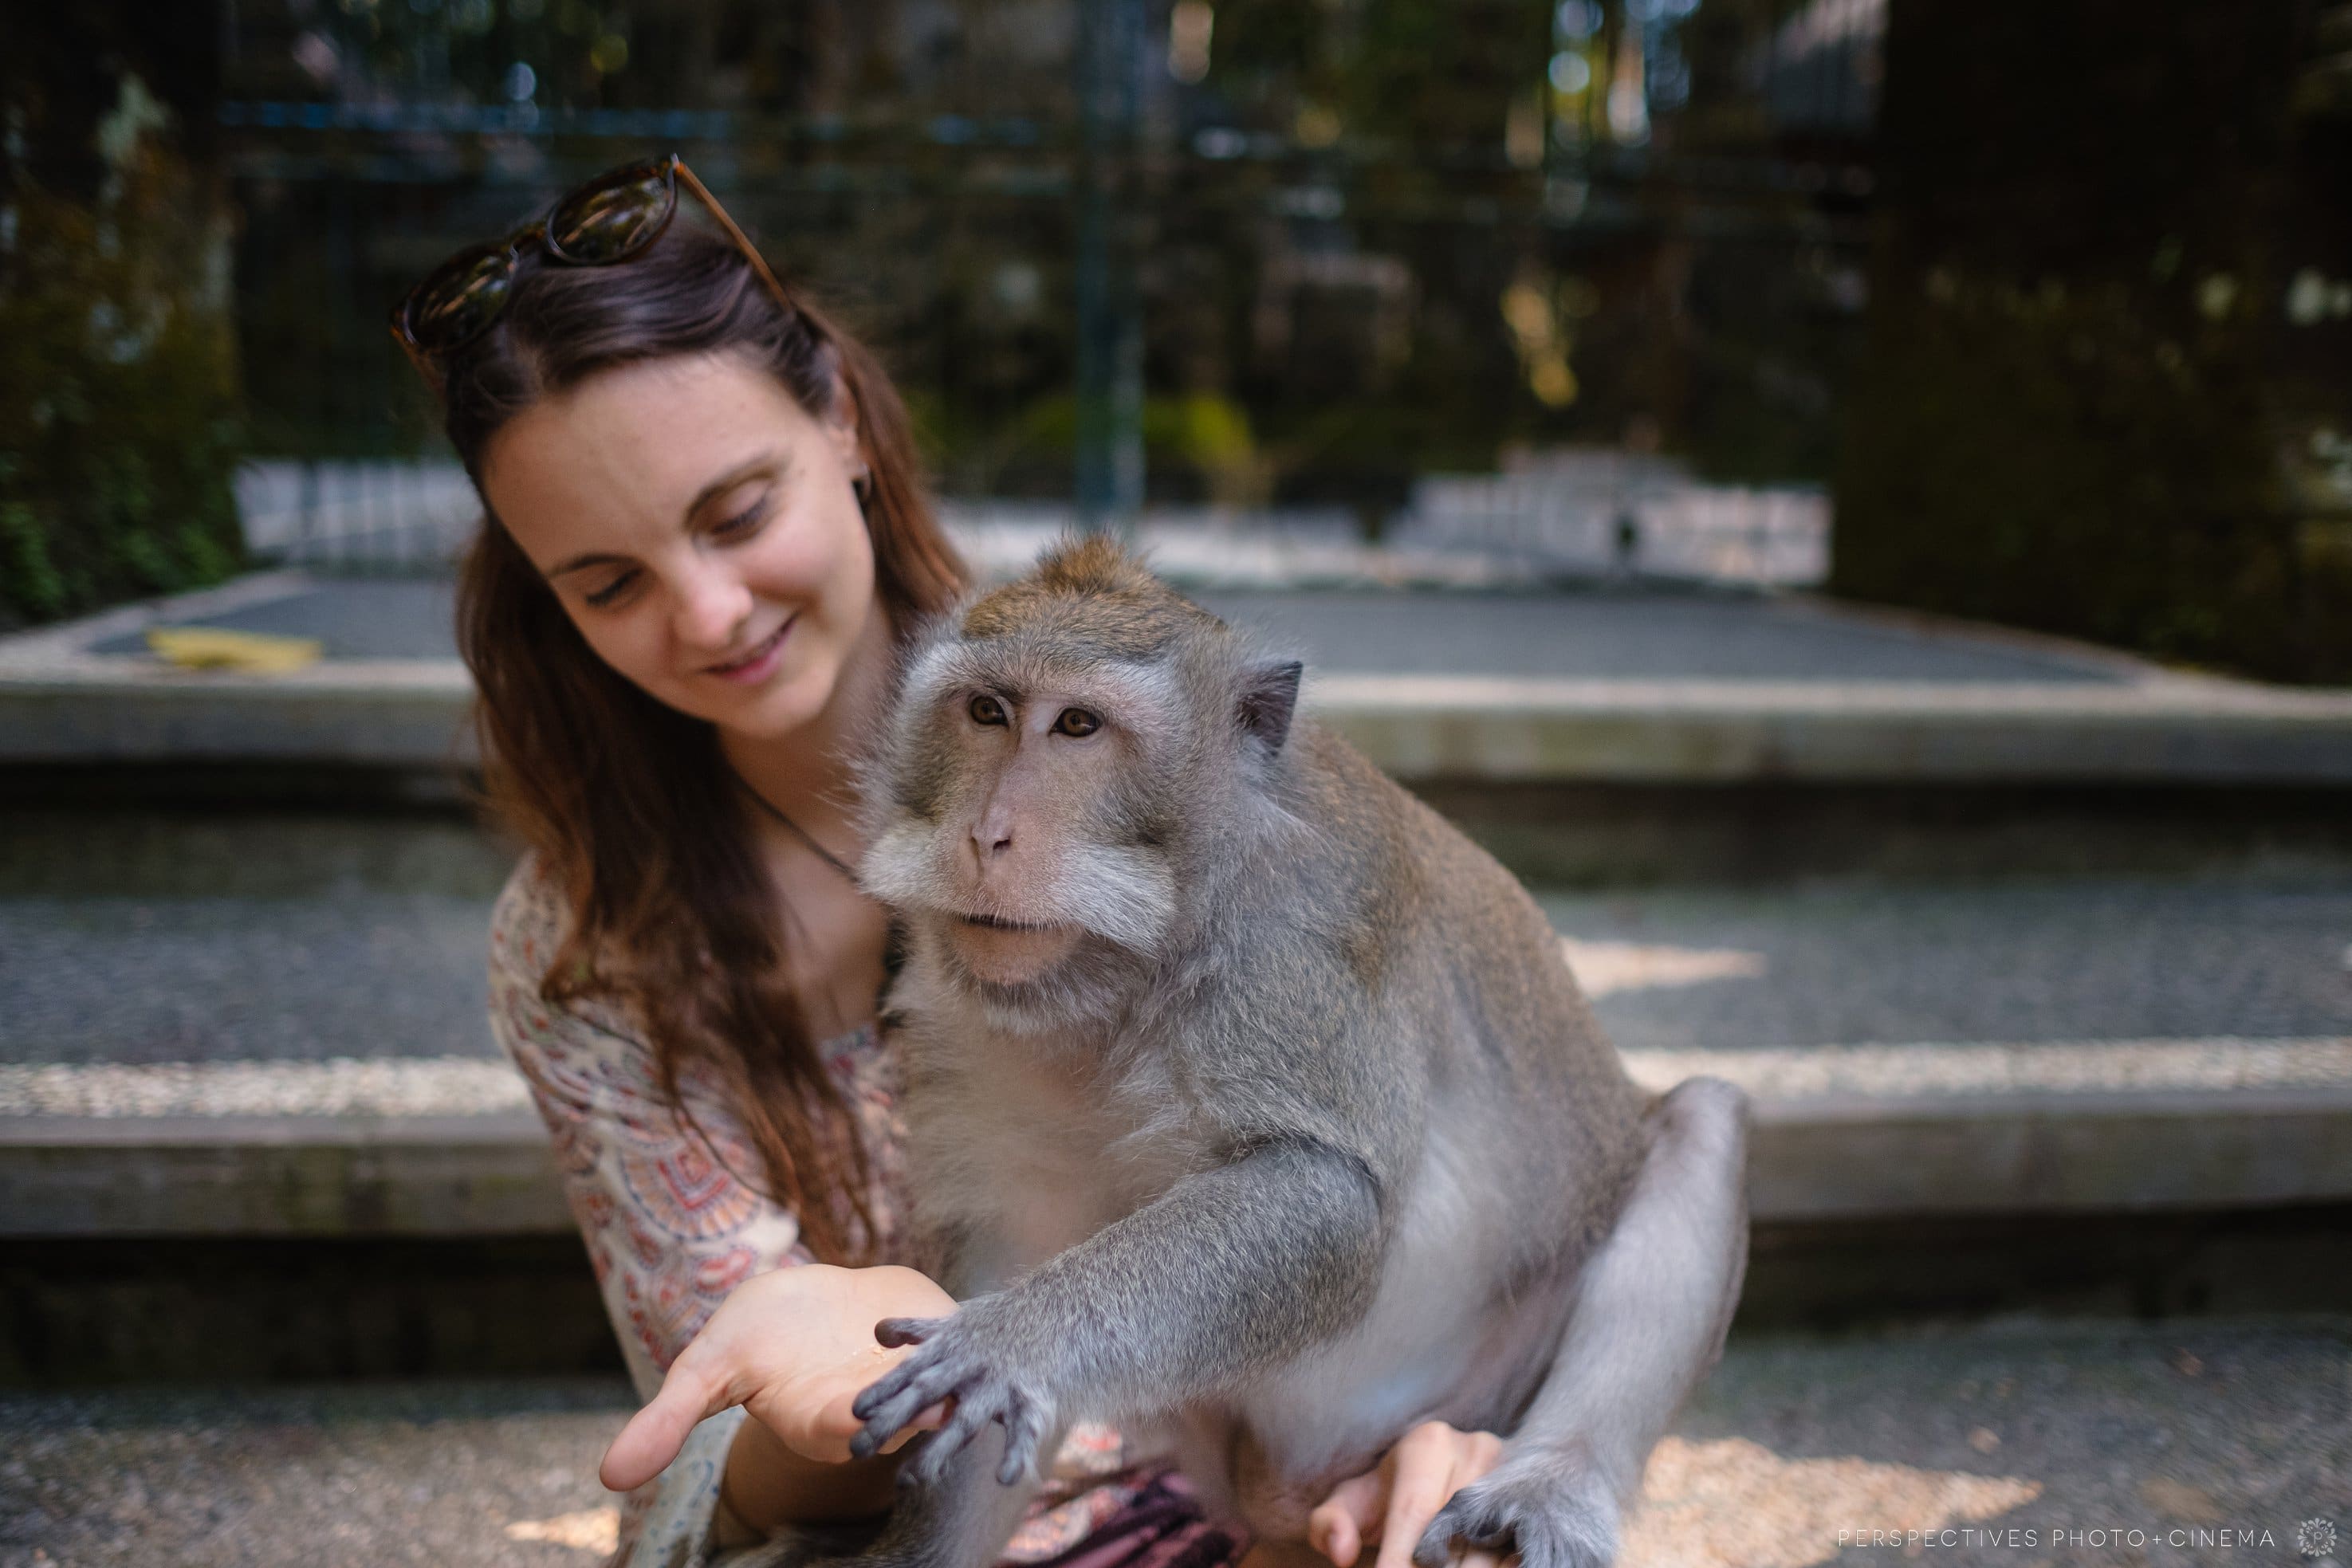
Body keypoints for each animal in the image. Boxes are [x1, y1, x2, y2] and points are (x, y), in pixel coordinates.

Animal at [841, 536, 1750, 1568]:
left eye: (1076, 724)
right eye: (987, 712)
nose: (986, 833)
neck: (1131, 965)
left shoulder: (1294, 947)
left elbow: (1327, 1190)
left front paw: (1016, 1341)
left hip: (1480, 1386)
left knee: (1701, 1123)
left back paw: (1548, 1487)